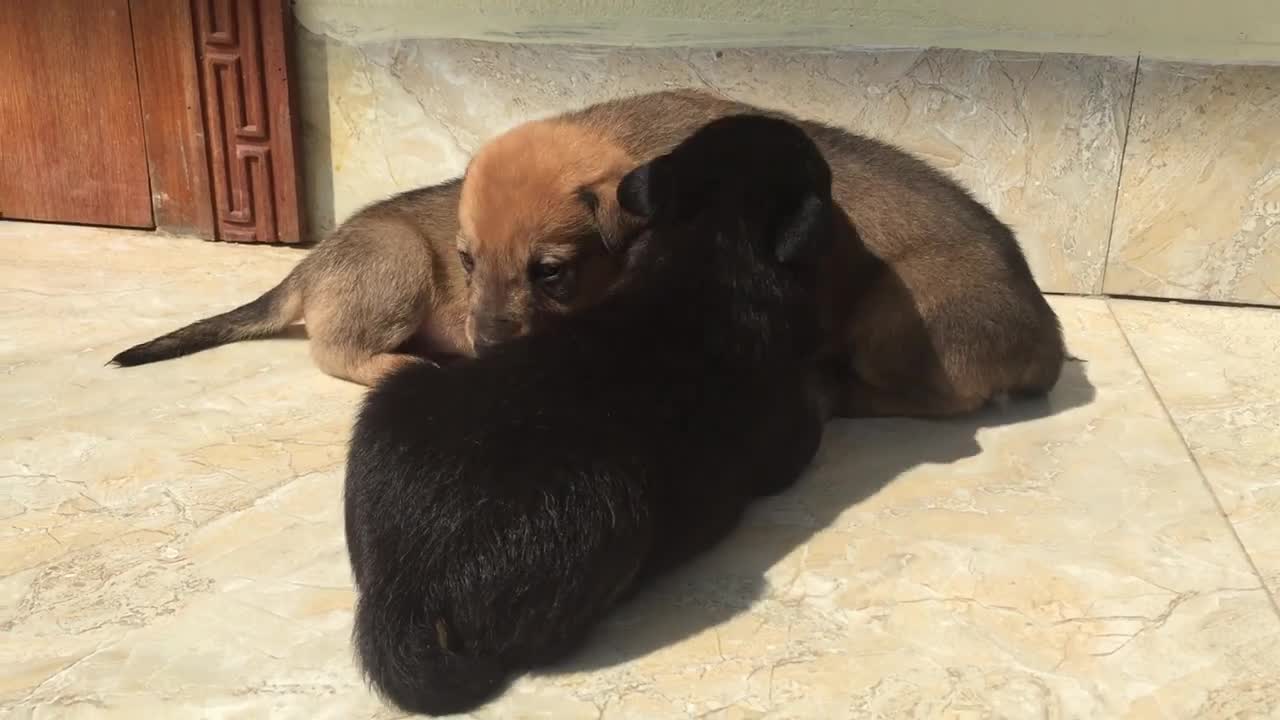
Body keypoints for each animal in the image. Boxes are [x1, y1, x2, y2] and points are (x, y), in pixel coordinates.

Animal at [345, 113, 834, 712]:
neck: (708, 242)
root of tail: (402, 588)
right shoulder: (787, 437)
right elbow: (809, 421)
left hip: (395, 395)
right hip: (610, 511)